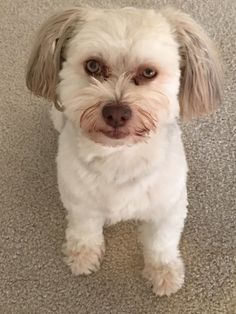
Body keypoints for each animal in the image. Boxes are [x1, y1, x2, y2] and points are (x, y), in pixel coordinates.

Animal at [25, 7, 221, 296]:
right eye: (93, 66)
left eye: (148, 72)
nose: (116, 112)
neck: (119, 157)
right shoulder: (79, 201)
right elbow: (85, 228)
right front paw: (83, 254)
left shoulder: (169, 207)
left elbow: (161, 241)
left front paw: (163, 272)